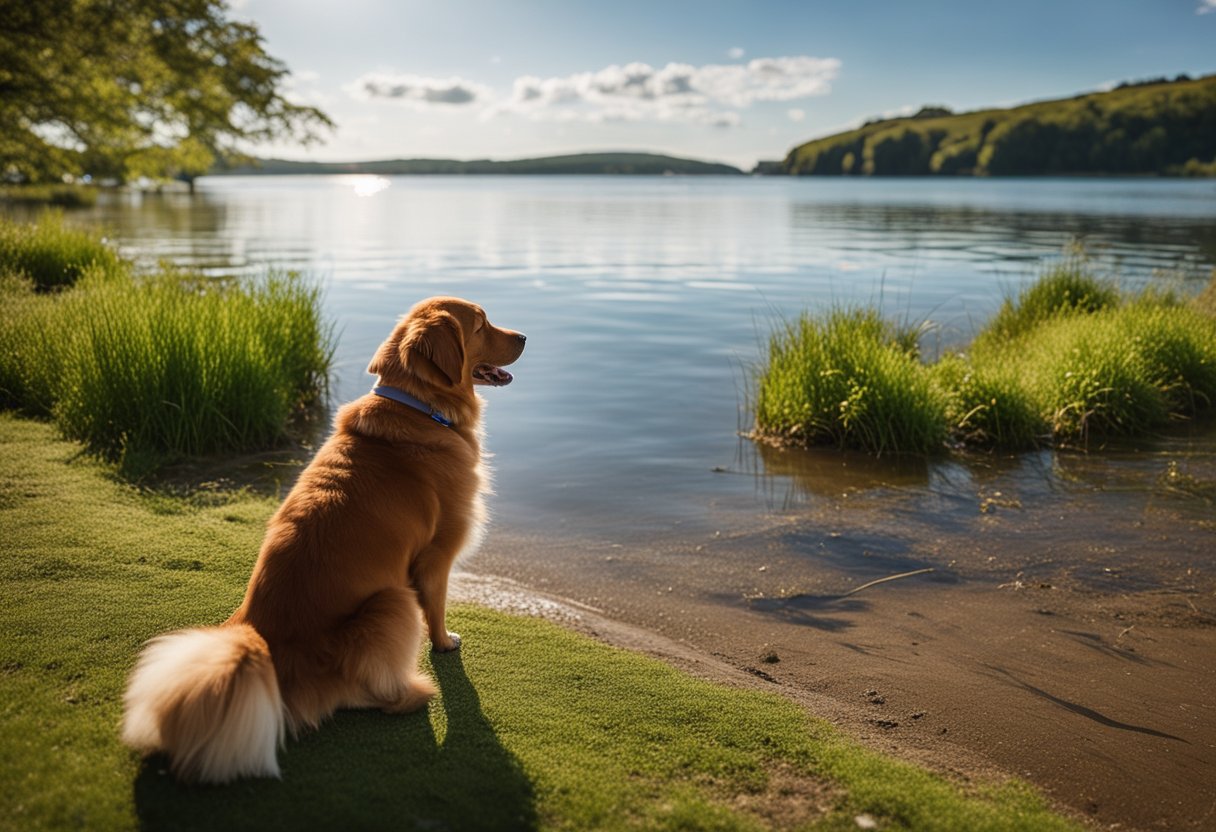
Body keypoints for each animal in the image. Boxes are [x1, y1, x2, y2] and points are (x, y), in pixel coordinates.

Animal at [119, 296, 527, 778]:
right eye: (481, 324)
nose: (524, 337)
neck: (418, 406)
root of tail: (266, 647)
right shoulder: (436, 556)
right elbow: (438, 611)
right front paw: (445, 645)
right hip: (392, 599)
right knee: (372, 694)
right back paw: (412, 692)